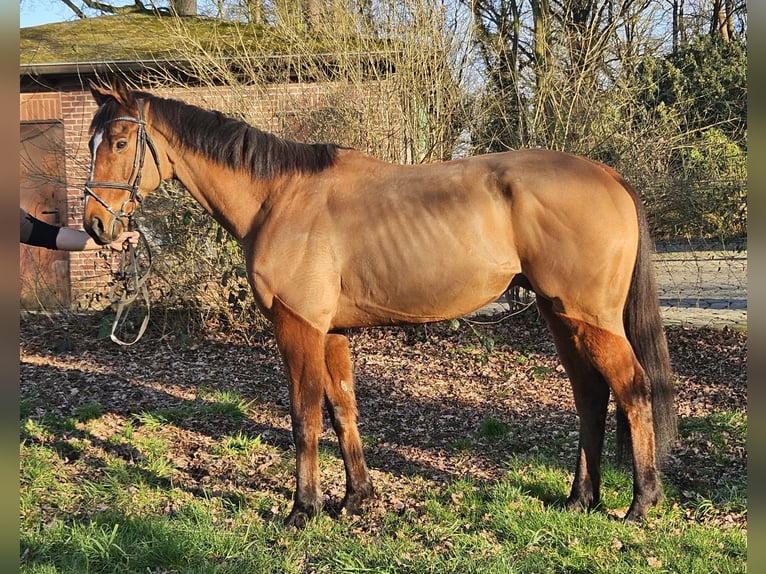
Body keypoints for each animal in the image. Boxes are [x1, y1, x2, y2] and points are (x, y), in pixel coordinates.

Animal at [81, 77, 676, 532]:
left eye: (119, 142)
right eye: (93, 140)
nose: (95, 226)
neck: (278, 198)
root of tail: (608, 175)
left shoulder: (298, 326)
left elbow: (304, 416)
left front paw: (303, 510)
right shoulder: (331, 331)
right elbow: (342, 408)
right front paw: (355, 498)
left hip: (590, 319)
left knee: (633, 390)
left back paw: (640, 504)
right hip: (562, 316)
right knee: (590, 398)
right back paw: (580, 499)